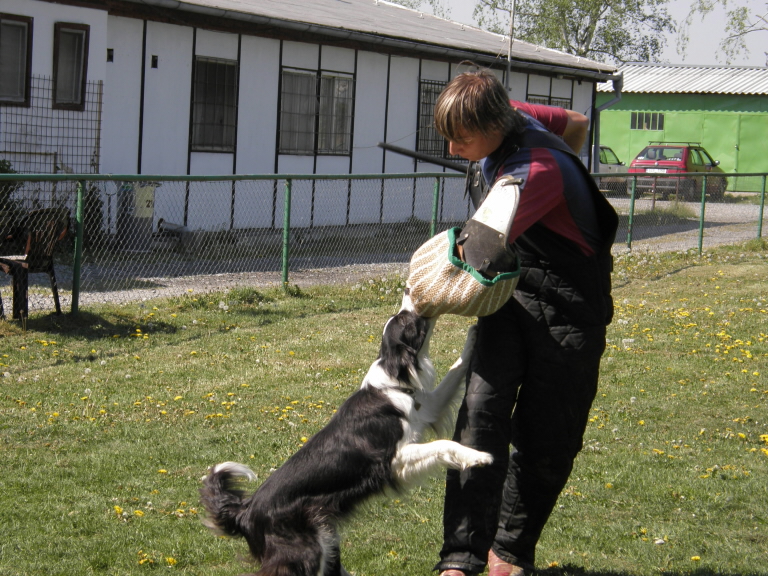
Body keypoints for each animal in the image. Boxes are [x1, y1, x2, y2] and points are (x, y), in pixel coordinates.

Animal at [200, 308, 492, 572]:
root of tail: (245, 512)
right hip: (305, 550)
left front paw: (473, 335)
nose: (417, 305)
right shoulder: (393, 459)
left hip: (324, 538)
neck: (391, 380)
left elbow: (453, 372)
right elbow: (444, 444)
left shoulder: (428, 407)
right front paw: (479, 457)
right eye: (406, 319)